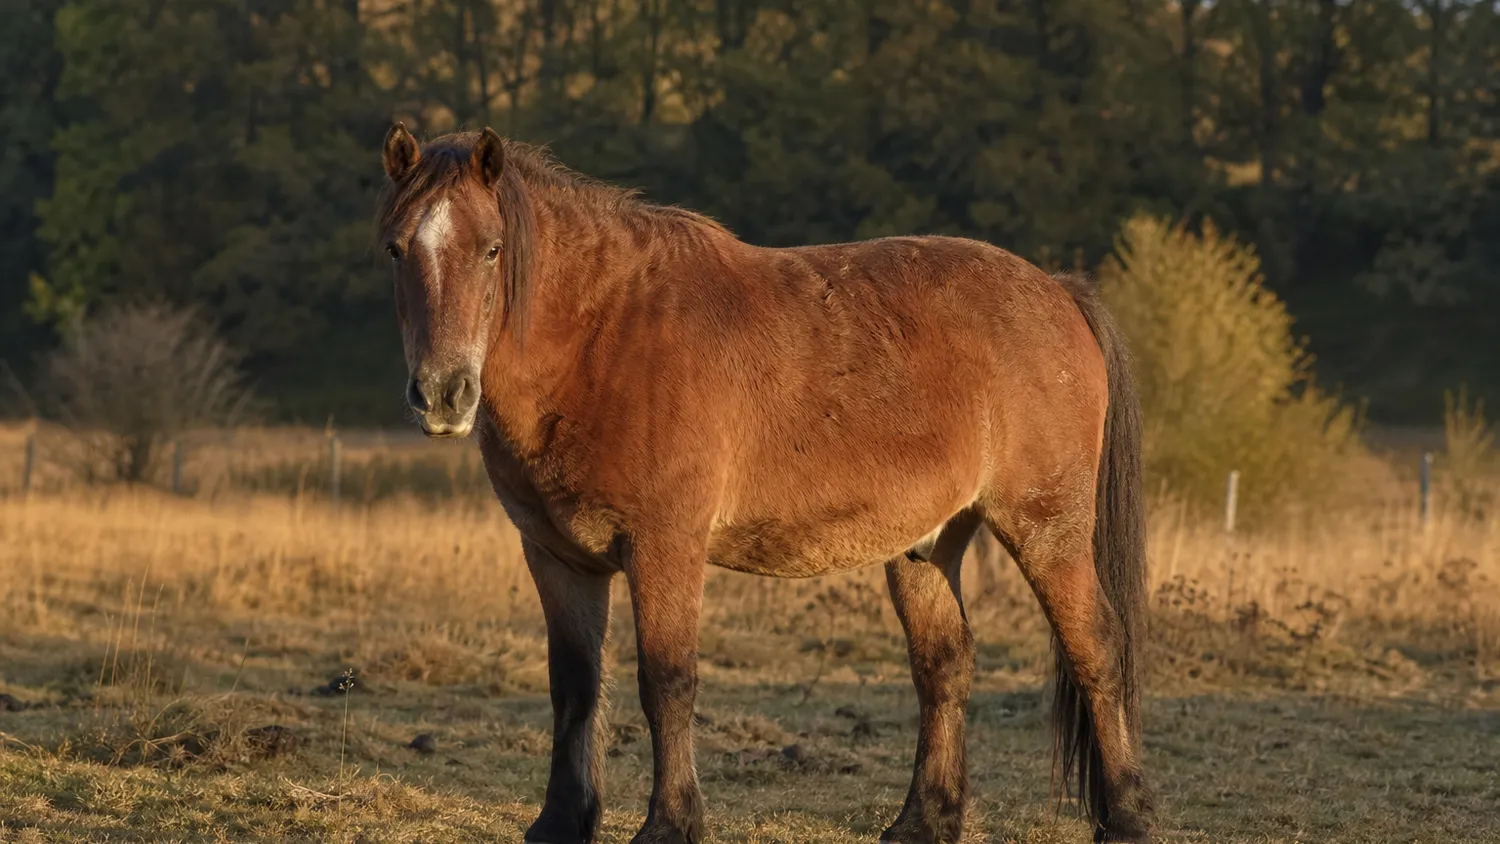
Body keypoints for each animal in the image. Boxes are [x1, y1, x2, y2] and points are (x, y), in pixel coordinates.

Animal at [373, 122, 1155, 844]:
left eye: (491, 249)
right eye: (396, 250)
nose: (442, 394)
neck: (602, 340)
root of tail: (1057, 291)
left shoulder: (664, 548)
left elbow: (667, 681)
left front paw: (671, 823)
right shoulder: (557, 557)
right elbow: (575, 686)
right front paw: (561, 822)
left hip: (1045, 530)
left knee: (1096, 650)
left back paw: (1126, 817)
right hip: (927, 545)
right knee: (944, 667)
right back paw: (921, 822)